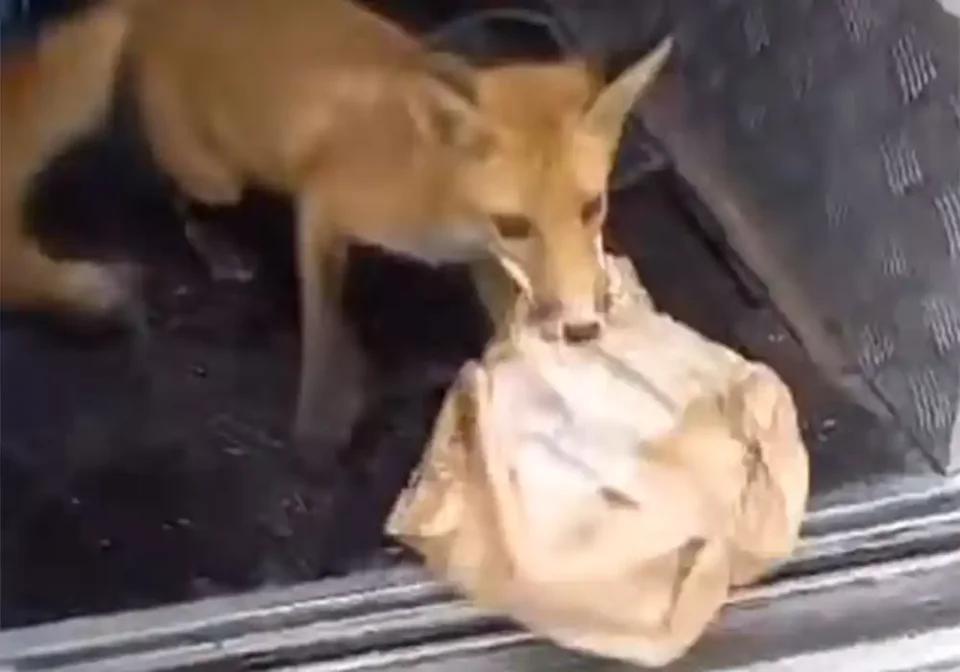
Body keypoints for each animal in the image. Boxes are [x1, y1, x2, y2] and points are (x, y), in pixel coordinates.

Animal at [0, 0, 673, 447]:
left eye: (591, 208)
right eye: (515, 222)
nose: (583, 329)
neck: (434, 188)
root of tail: (159, 4)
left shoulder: (480, 255)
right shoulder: (324, 205)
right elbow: (324, 322)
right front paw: (321, 417)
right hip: (216, 177)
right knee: (181, 197)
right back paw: (219, 249)